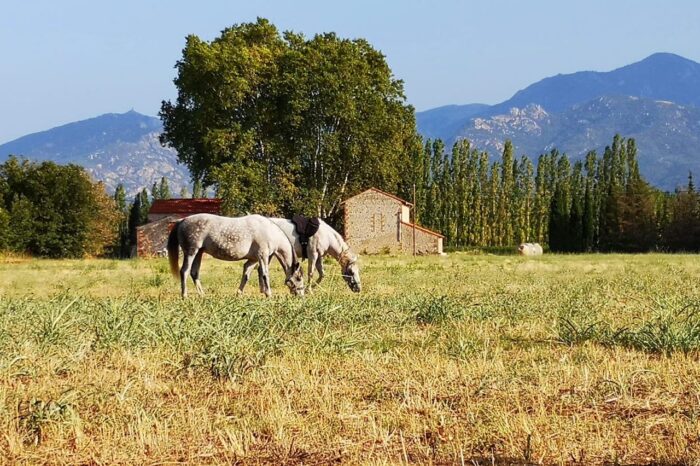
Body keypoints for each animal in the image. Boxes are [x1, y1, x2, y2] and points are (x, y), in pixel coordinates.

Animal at [168, 215, 304, 298]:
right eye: (298, 278)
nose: (301, 295)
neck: (270, 232)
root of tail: (182, 221)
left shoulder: (253, 259)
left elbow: (246, 275)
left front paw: (239, 294)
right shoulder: (262, 256)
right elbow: (265, 275)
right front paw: (269, 294)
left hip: (199, 253)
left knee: (194, 273)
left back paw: (202, 295)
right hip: (191, 252)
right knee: (184, 271)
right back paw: (184, 295)